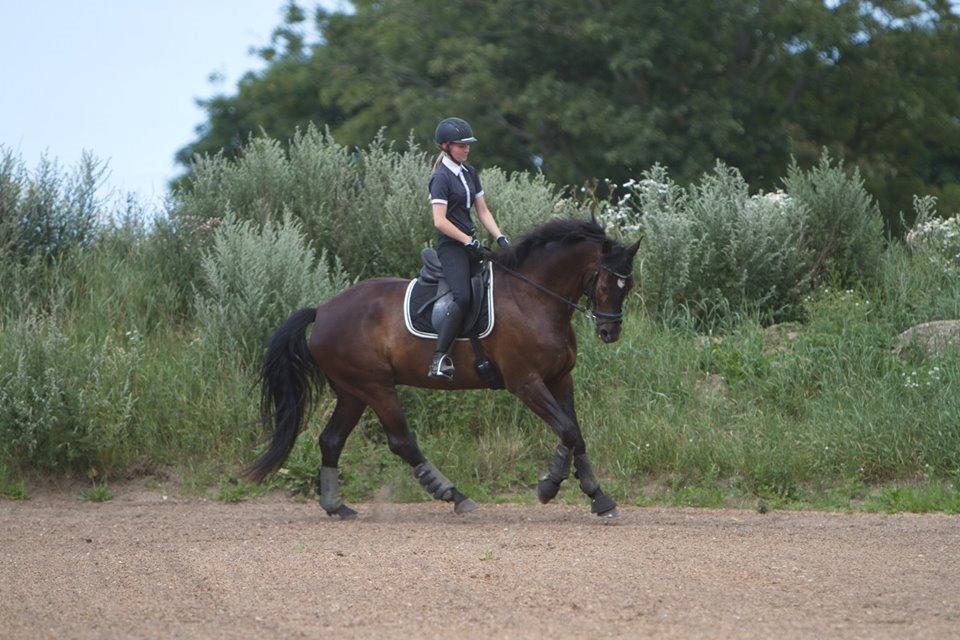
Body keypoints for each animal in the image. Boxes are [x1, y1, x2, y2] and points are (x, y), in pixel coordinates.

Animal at [248, 218, 640, 516]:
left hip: (351, 392)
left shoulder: (560, 378)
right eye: (606, 281)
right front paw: (549, 485)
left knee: (331, 440)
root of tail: (322, 311)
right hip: (375, 387)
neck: (534, 297)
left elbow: (575, 432)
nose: (609, 331)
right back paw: (455, 496)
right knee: (401, 441)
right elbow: (568, 431)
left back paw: (336, 506)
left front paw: (597, 496)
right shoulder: (526, 382)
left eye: (628, 285)